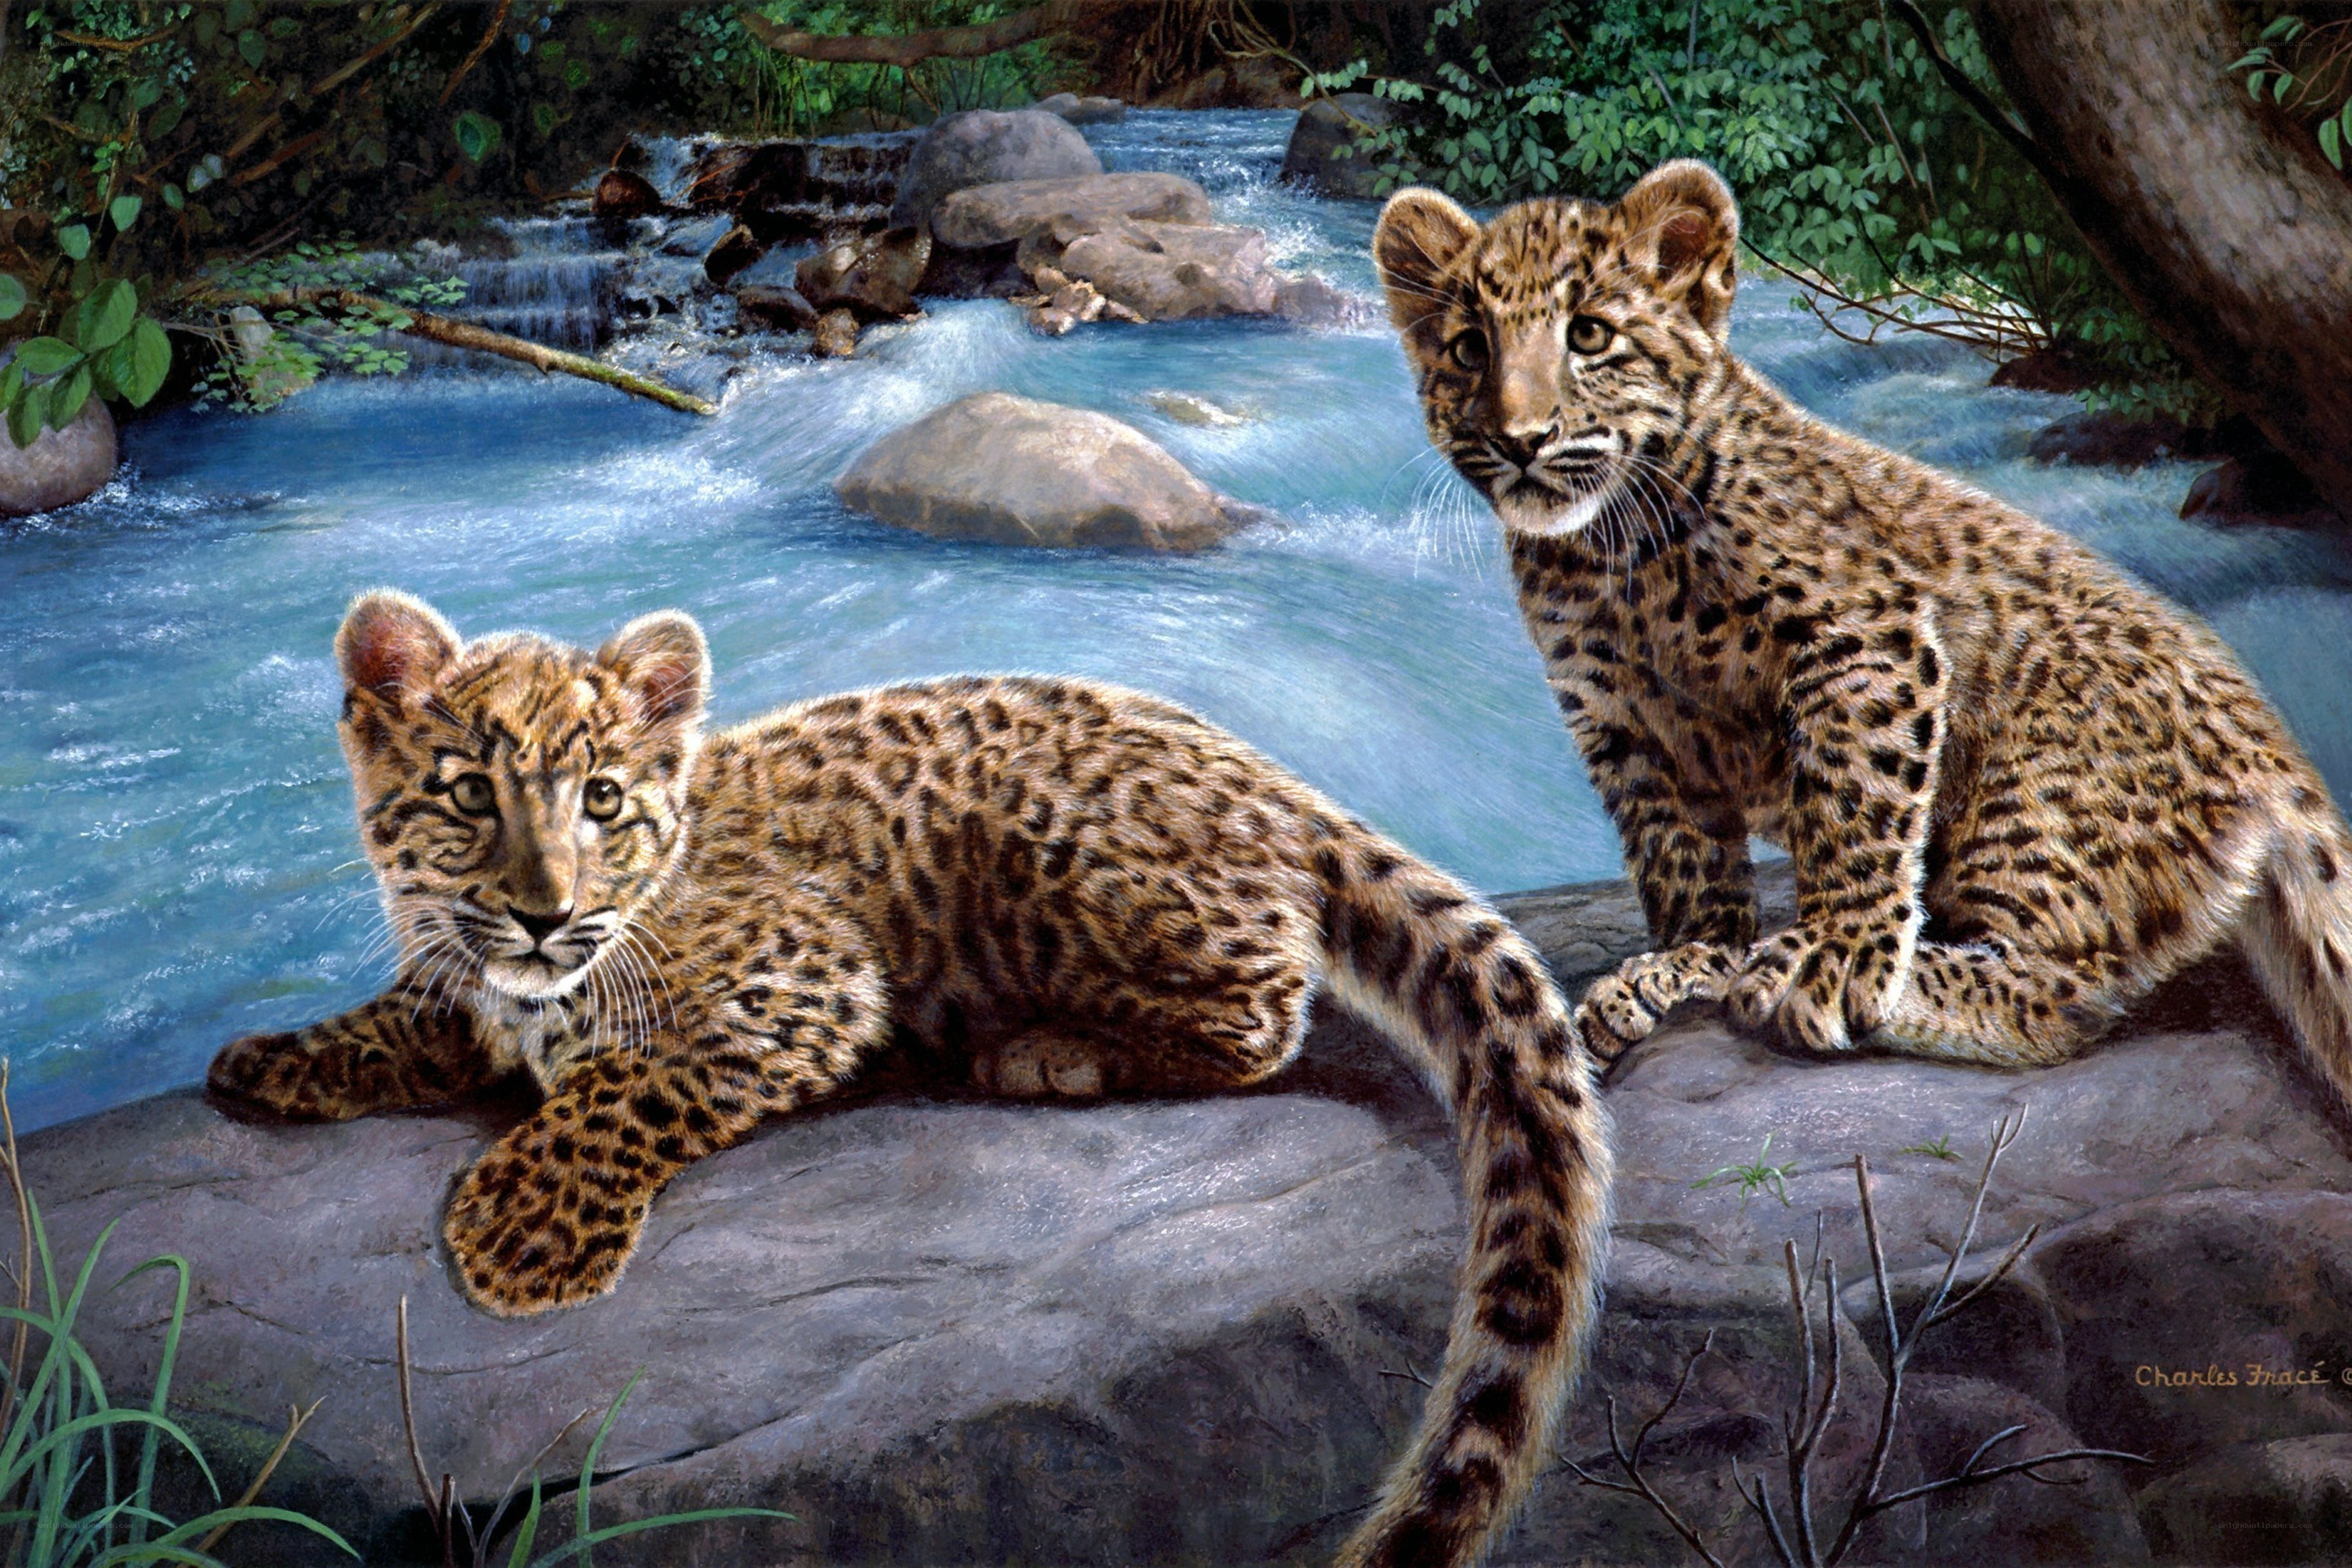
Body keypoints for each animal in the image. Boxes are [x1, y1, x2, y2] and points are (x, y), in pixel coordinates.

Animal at [207, 590, 1611, 1568]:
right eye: (467, 796)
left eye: (601, 799)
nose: (547, 912)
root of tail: (1270, 776)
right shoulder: (476, 980)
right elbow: (421, 1009)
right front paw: (273, 1059)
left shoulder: (809, 974)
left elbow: (627, 1087)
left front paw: (524, 1234)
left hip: (1069, 859)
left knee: (1269, 1002)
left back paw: (1041, 1049)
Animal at [1372, 158, 2352, 1109]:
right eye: (1469, 348)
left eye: (1589, 336)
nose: (1520, 438)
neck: (1605, 552)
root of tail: (2275, 754)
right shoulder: (1623, 719)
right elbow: (1679, 854)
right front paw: (1684, 964)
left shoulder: (1867, 637)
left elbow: (1854, 803)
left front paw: (1832, 960)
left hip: (2039, 799)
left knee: (2059, 994)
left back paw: (1846, 976)